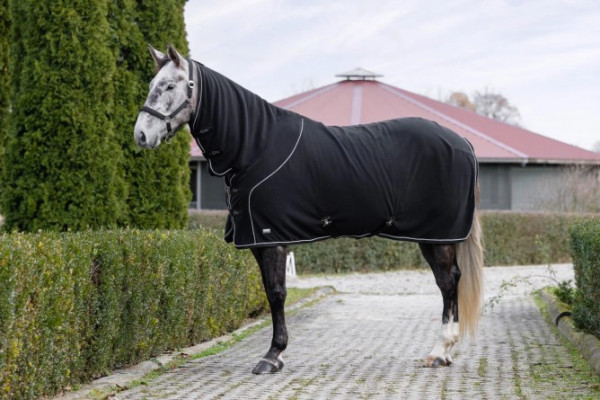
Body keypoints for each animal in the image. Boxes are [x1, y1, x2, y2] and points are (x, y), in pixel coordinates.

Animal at [132, 44, 482, 376]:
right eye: (151, 84)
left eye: (169, 86)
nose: (141, 135)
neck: (255, 148)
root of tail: (463, 142)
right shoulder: (259, 240)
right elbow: (270, 291)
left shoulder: (271, 239)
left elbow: (276, 293)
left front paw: (272, 356)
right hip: (431, 237)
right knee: (447, 281)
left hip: (438, 236)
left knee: (448, 282)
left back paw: (441, 352)